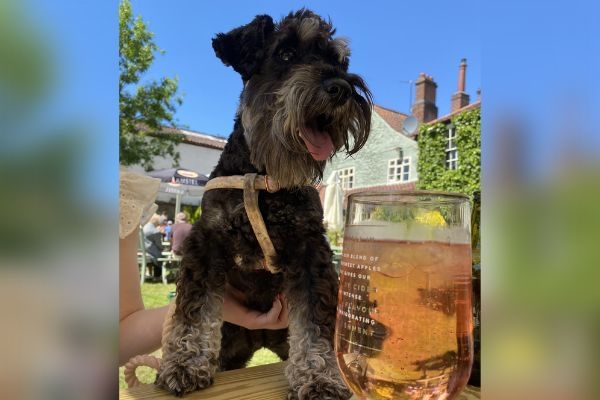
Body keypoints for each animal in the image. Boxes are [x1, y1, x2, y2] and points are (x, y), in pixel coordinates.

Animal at [155, 9, 370, 400]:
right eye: (285, 54)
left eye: (339, 61)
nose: (341, 88)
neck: (263, 178)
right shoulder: (206, 243)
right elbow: (194, 310)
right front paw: (184, 362)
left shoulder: (309, 251)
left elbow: (315, 324)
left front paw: (320, 376)